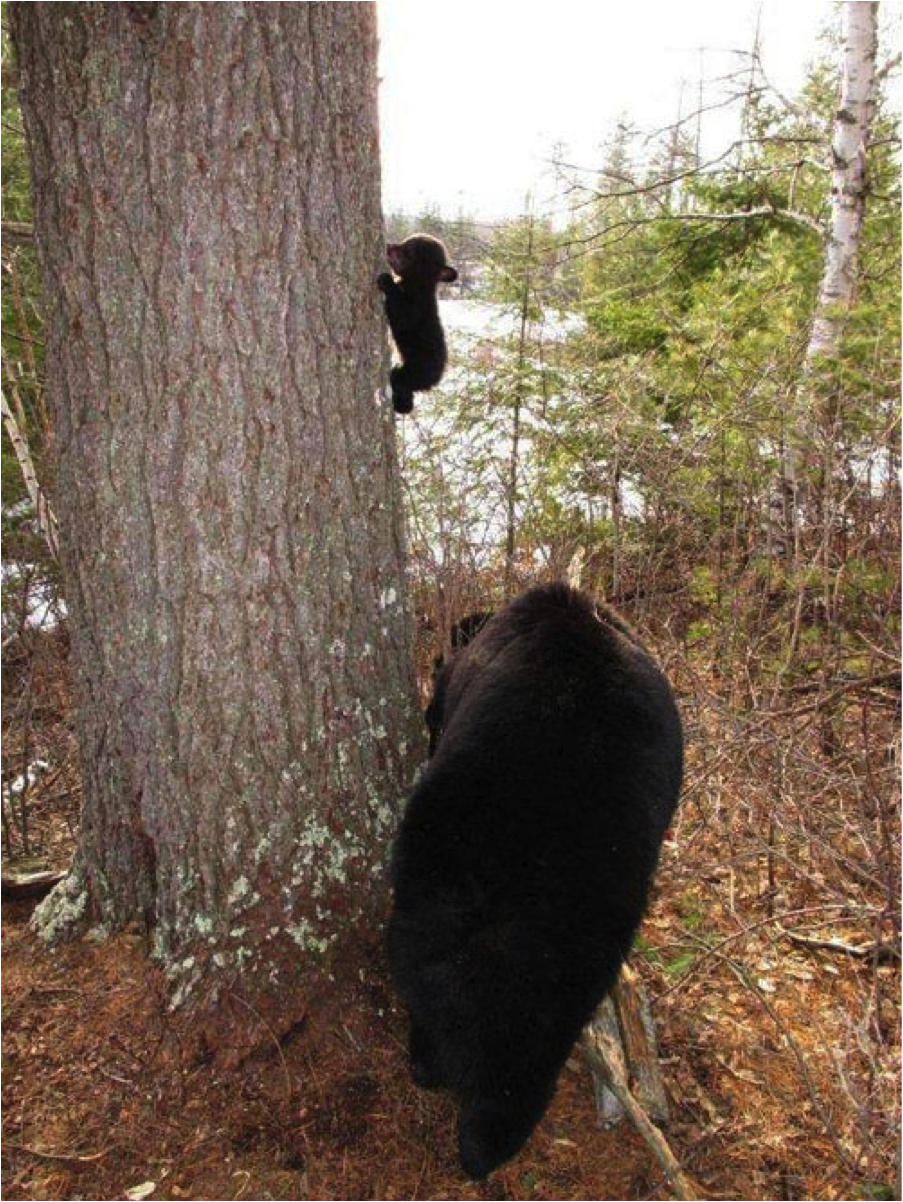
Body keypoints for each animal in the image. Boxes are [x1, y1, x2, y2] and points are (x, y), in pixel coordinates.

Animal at [377, 233, 458, 415]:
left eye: (409, 250)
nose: (389, 245)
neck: (416, 284)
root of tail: (438, 378)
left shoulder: (415, 308)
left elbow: (401, 315)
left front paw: (387, 280)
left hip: (417, 370)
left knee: (400, 381)